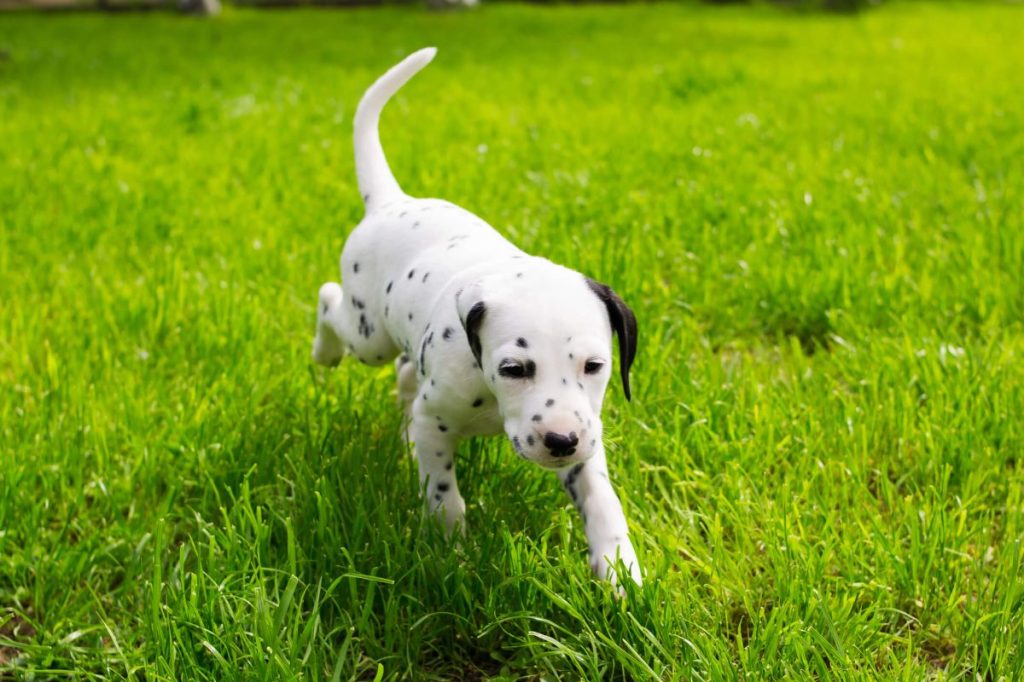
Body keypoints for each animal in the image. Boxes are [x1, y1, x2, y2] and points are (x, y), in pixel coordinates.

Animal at [315, 47, 643, 585]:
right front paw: (451, 553)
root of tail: (391, 202)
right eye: (514, 368)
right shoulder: (436, 422)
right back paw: (323, 350)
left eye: (595, 366)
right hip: (369, 335)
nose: (561, 441)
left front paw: (619, 568)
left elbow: (601, 499)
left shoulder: (586, 437)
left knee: (404, 374)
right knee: (329, 301)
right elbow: (443, 495)